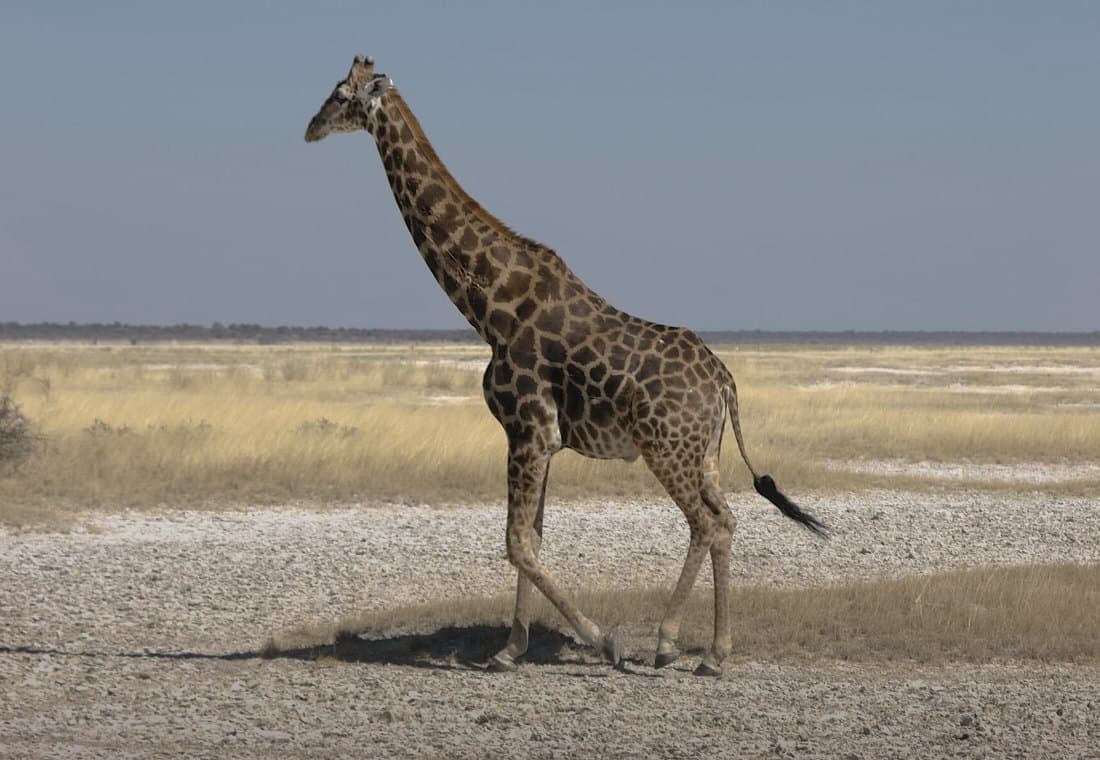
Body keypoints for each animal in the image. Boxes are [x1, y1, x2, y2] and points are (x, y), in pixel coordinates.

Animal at [305, 55, 826, 676]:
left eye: (340, 96)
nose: (309, 128)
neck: (489, 310)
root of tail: (725, 381)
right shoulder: (541, 438)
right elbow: (533, 537)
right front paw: (510, 649)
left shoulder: (528, 429)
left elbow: (516, 542)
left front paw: (603, 641)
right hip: (705, 453)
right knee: (724, 522)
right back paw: (712, 652)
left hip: (665, 448)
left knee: (705, 523)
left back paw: (666, 643)